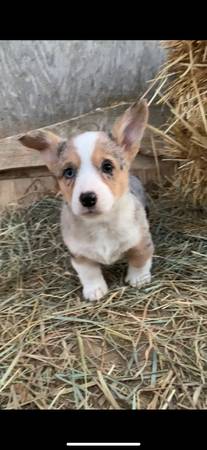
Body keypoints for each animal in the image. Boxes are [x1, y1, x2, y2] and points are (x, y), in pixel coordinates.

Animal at [19, 100, 154, 300]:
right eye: (68, 172)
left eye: (107, 166)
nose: (87, 198)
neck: (101, 224)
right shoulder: (79, 255)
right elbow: (89, 273)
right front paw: (94, 290)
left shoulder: (141, 242)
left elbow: (140, 260)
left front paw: (138, 279)